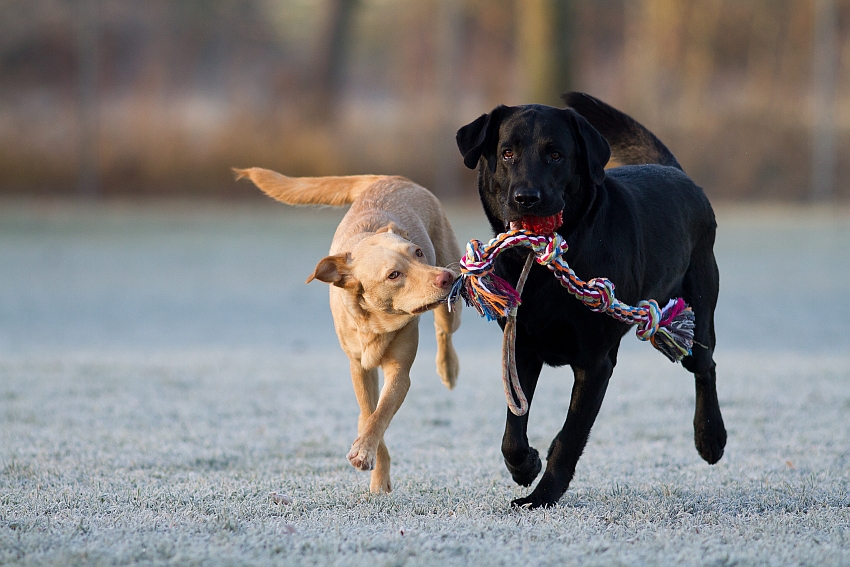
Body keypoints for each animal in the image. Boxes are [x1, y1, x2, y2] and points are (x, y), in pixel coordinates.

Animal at [454, 93, 724, 510]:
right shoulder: (520, 349)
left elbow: (569, 437)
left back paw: (710, 438)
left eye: (556, 155)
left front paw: (541, 496)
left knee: (704, 365)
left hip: (698, 303)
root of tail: (677, 172)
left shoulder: (595, 363)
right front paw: (526, 466)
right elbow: (512, 432)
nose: (526, 198)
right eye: (507, 153)